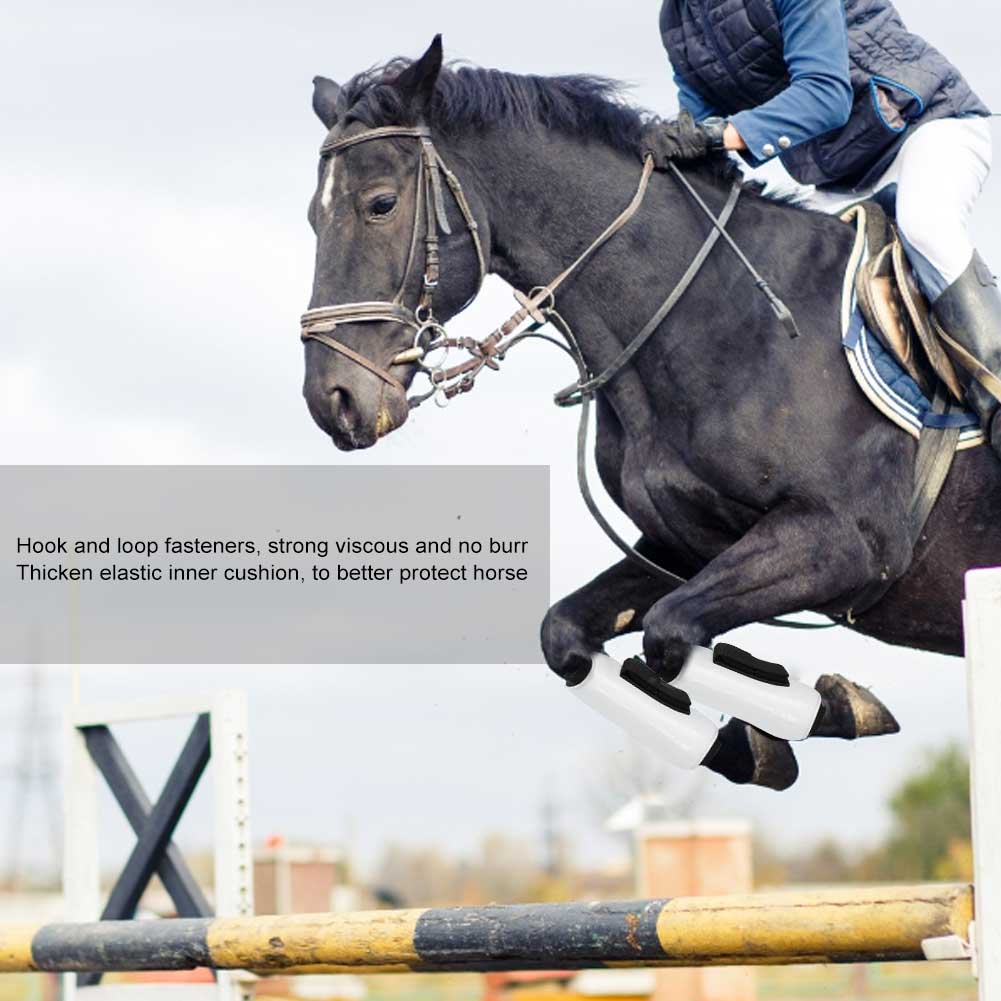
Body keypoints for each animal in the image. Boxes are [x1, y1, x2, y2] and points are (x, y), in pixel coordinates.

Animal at [299, 37, 1001, 789]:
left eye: (380, 204)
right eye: (313, 217)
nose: (333, 401)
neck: (713, 315)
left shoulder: (846, 541)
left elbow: (669, 631)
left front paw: (817, 708)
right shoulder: (682, 547)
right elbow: (575, 634)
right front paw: (759, 738)